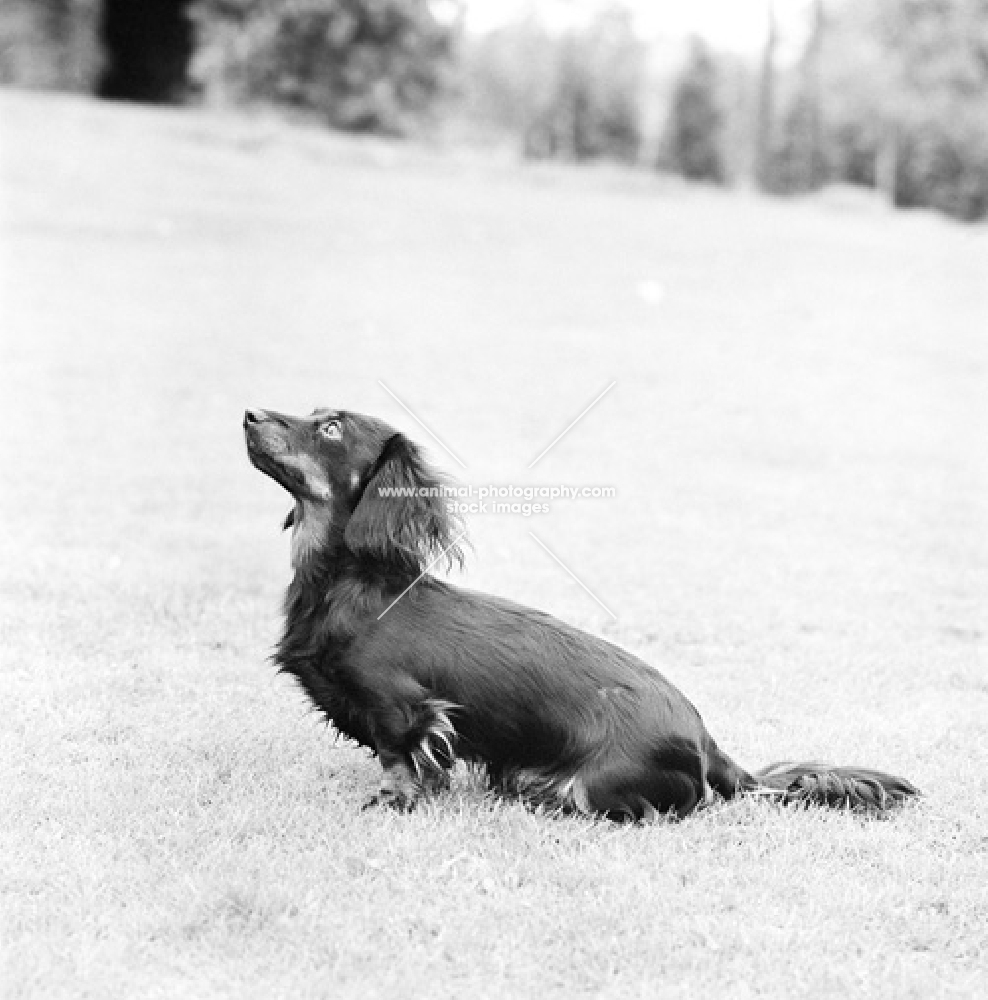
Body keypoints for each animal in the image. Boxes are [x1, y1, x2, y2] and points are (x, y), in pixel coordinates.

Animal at [241, 406, 920, 820]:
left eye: (331, 427)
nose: (249, 414)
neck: (349, 586)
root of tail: (709, 744)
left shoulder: (407, 709)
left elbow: (400, 758)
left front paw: (393, 801)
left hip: (587, 787)